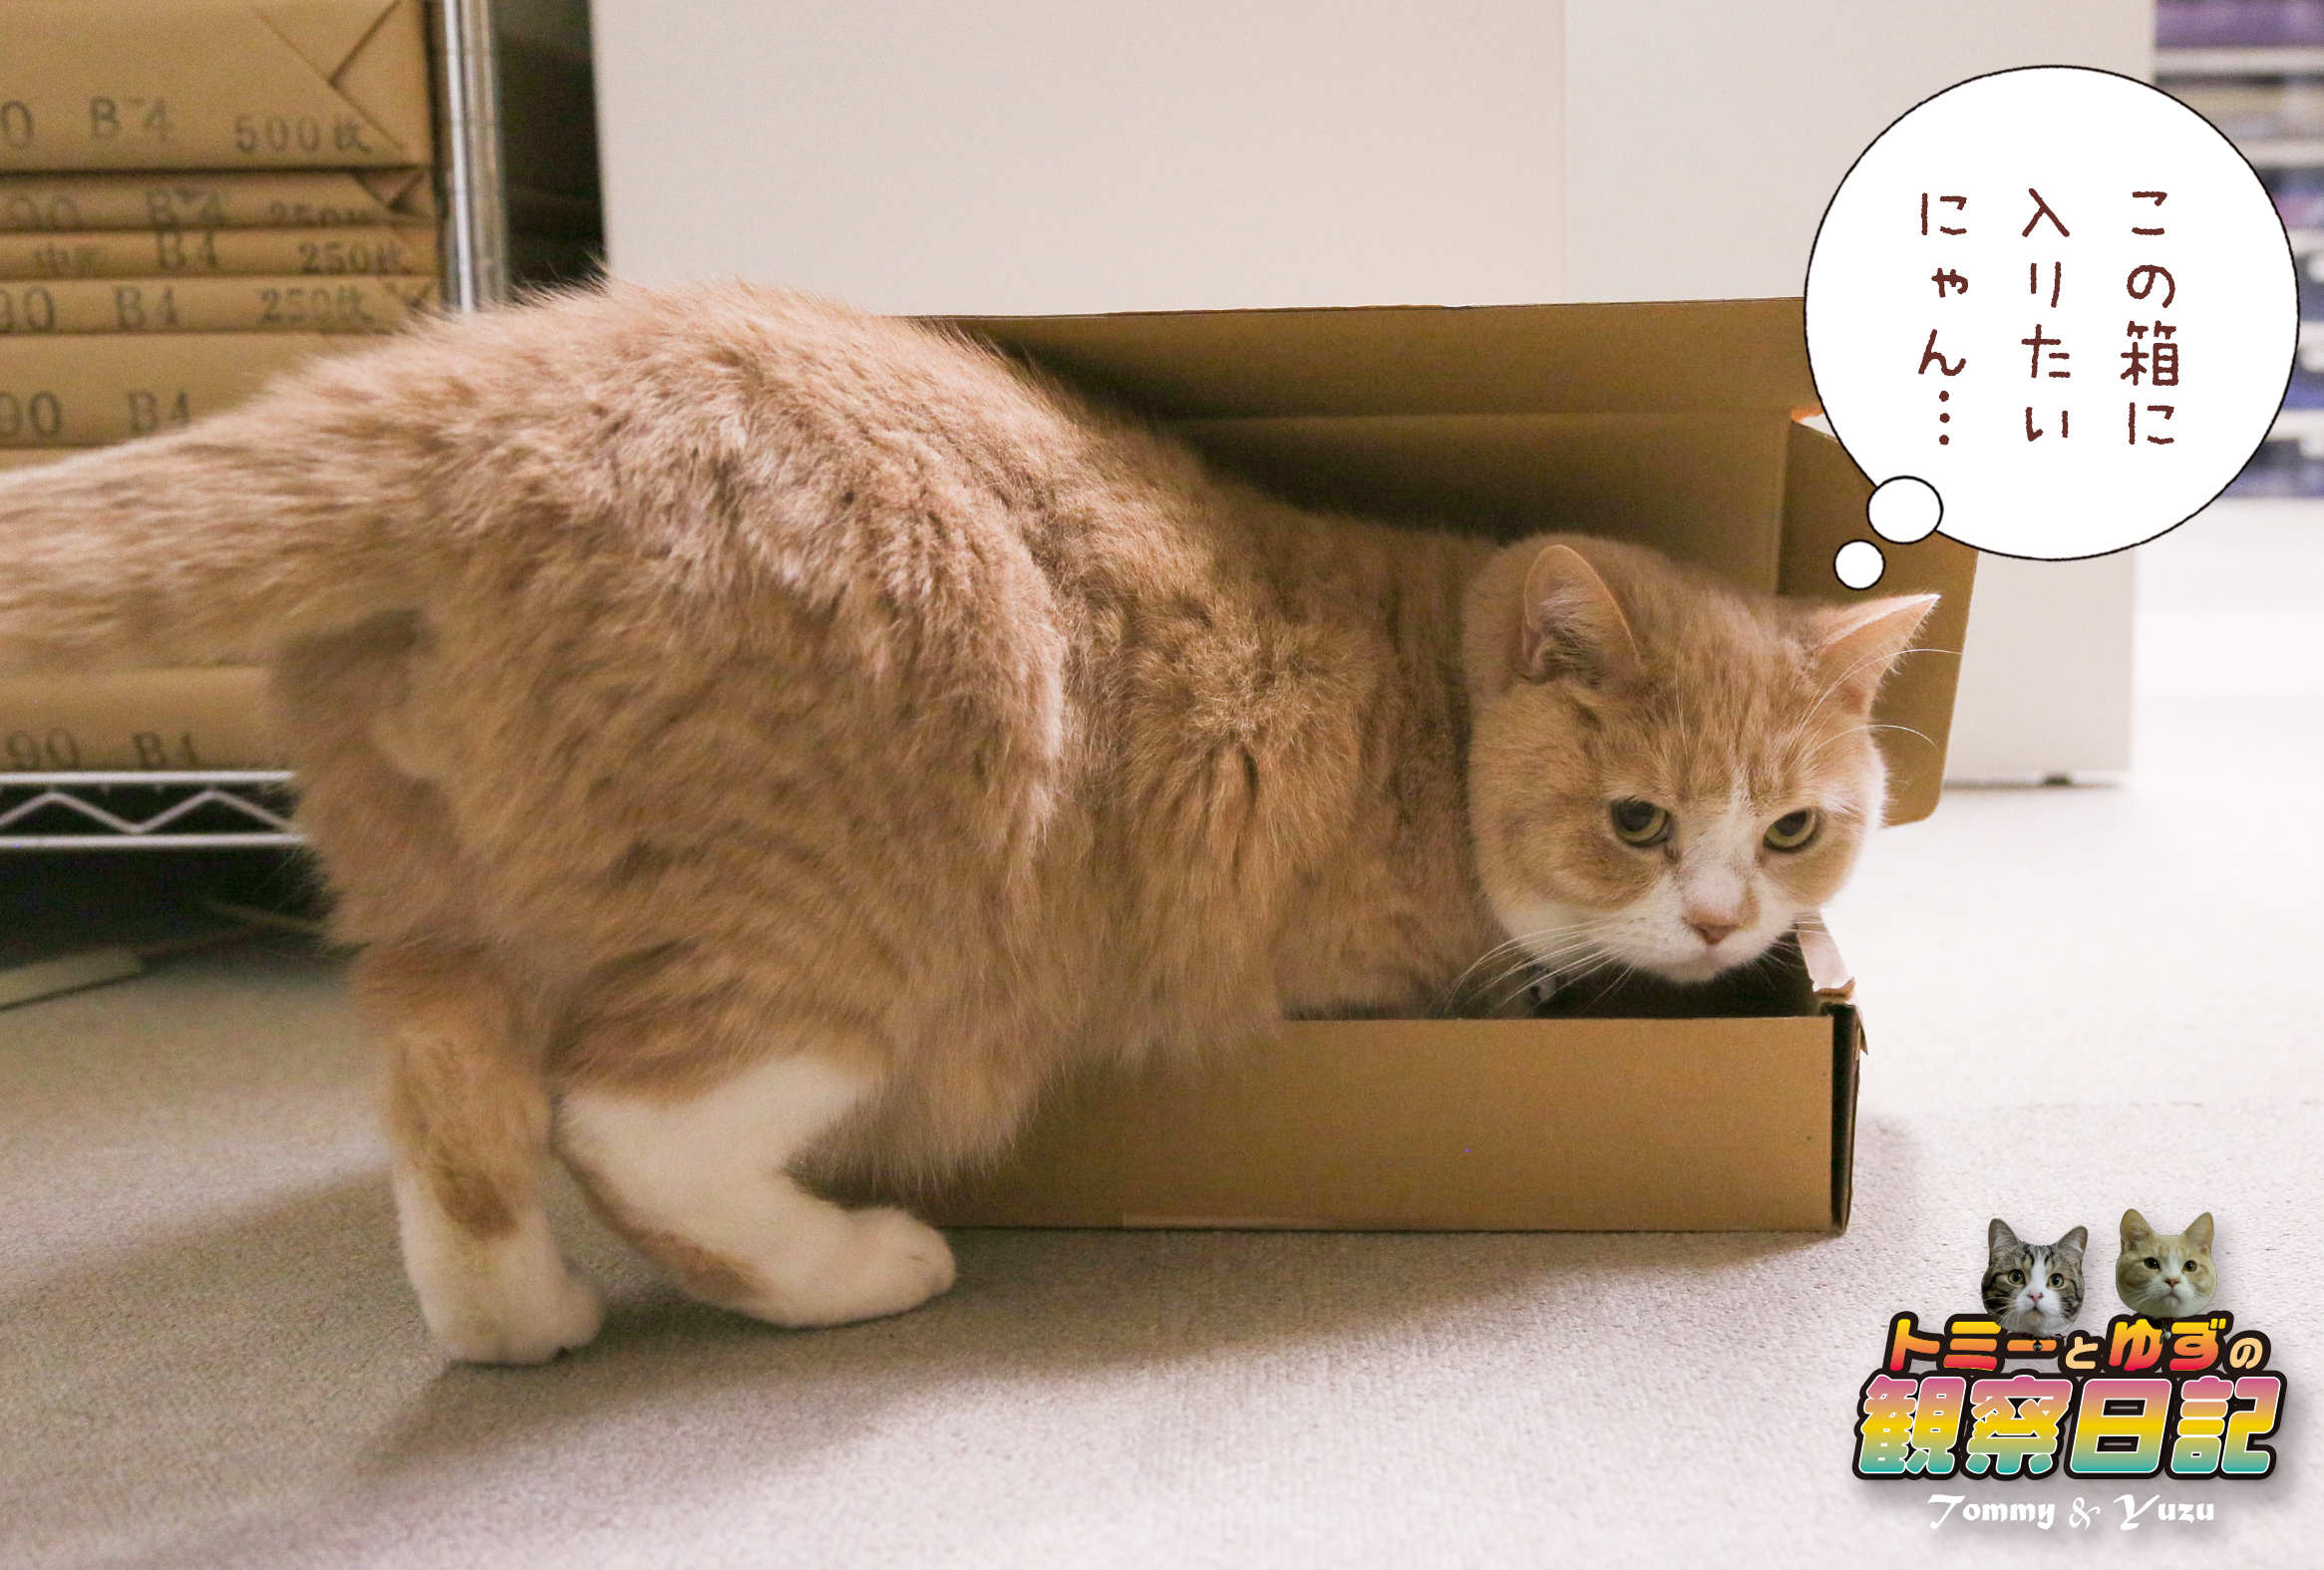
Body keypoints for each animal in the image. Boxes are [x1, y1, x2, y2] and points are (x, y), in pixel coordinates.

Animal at [0, 283, 1935, 1362]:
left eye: (1788, 833)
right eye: (1637, 819)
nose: (1718, 923)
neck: (1427, 705)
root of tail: (497, 386)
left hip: (424, 897)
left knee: (448, 1100)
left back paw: (517, 1323)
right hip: (862, 917)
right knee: (627, 1120)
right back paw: (851, 1267)